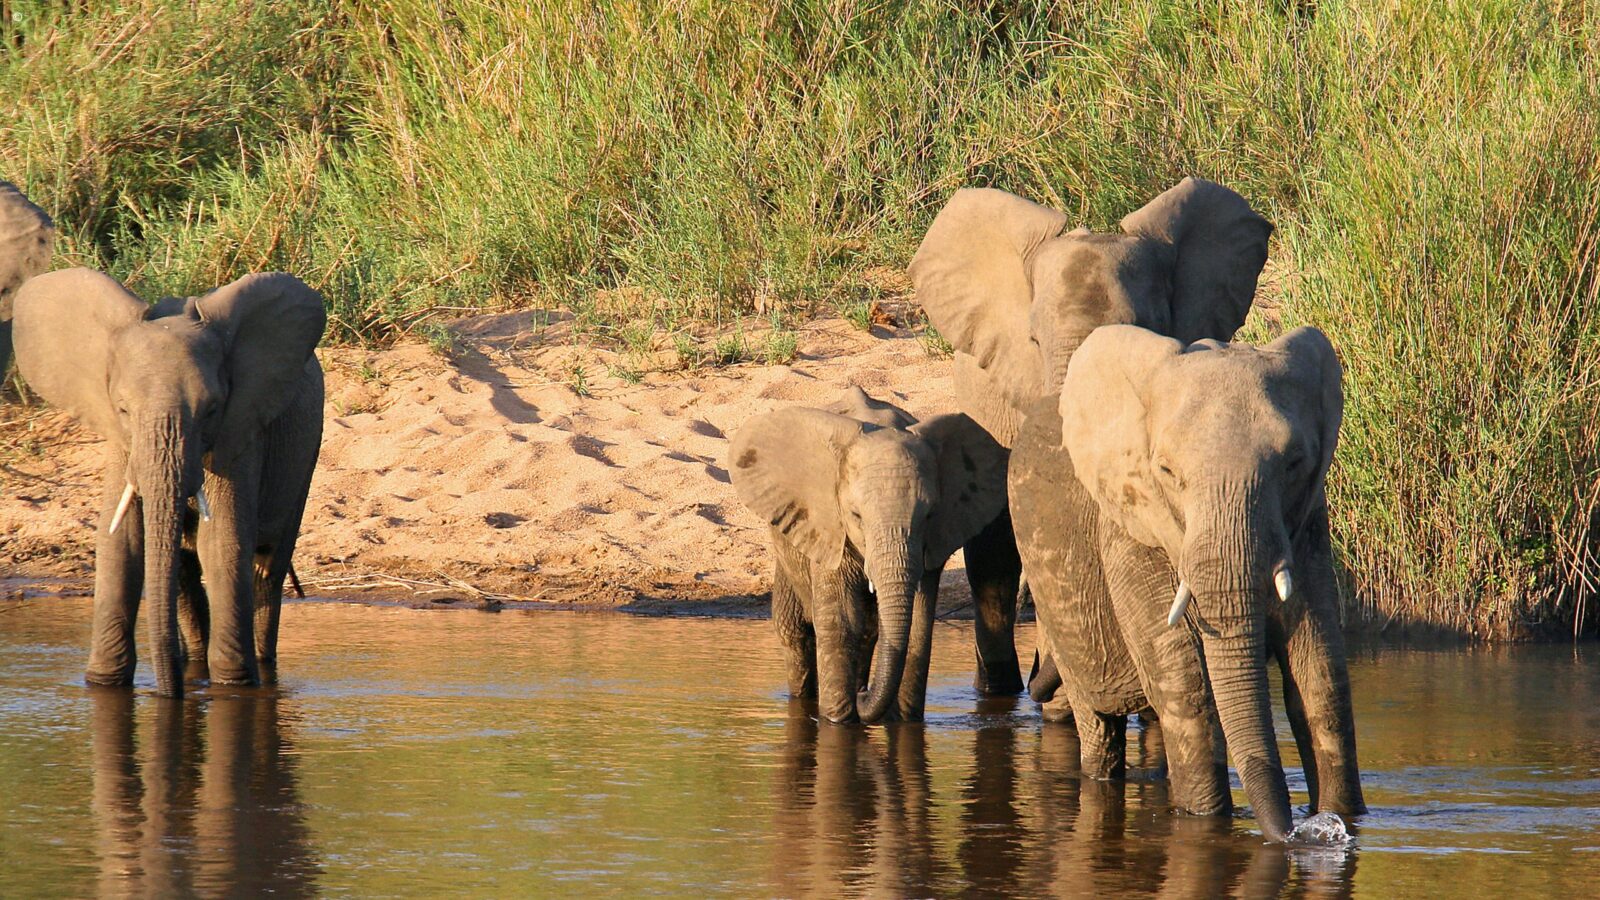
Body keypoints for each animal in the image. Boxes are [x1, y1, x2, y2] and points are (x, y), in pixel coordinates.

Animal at [13, 268, 326, 697]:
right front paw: (105, 683)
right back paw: (192, 661)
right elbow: (122, 540)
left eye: (211, 410)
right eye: (123, 409)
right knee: (184, 571)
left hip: (306, 452)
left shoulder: (240, 431)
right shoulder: (122, 444)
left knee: (267, 565)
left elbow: (223, 540)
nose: (171, 692)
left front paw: (232, 684)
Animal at [729, 389, 1009, 723]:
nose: (863, 694)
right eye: (856, 516)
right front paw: (838, 721)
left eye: (929, 515)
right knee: (795, 634)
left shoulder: (935, 538)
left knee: (868, 632)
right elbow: (841, 620)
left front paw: (903, 720)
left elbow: (917, 624)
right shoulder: (830, 527)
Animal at [1009, 323, 1365, 842]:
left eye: (1294, 463)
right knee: (1099, 727)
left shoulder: (1308, 525)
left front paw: (1343, 817)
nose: (1295, 834)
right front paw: (1206, 820)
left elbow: (1320, 673)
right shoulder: (1130, 531)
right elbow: (1186, 687)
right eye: (1167, 472)